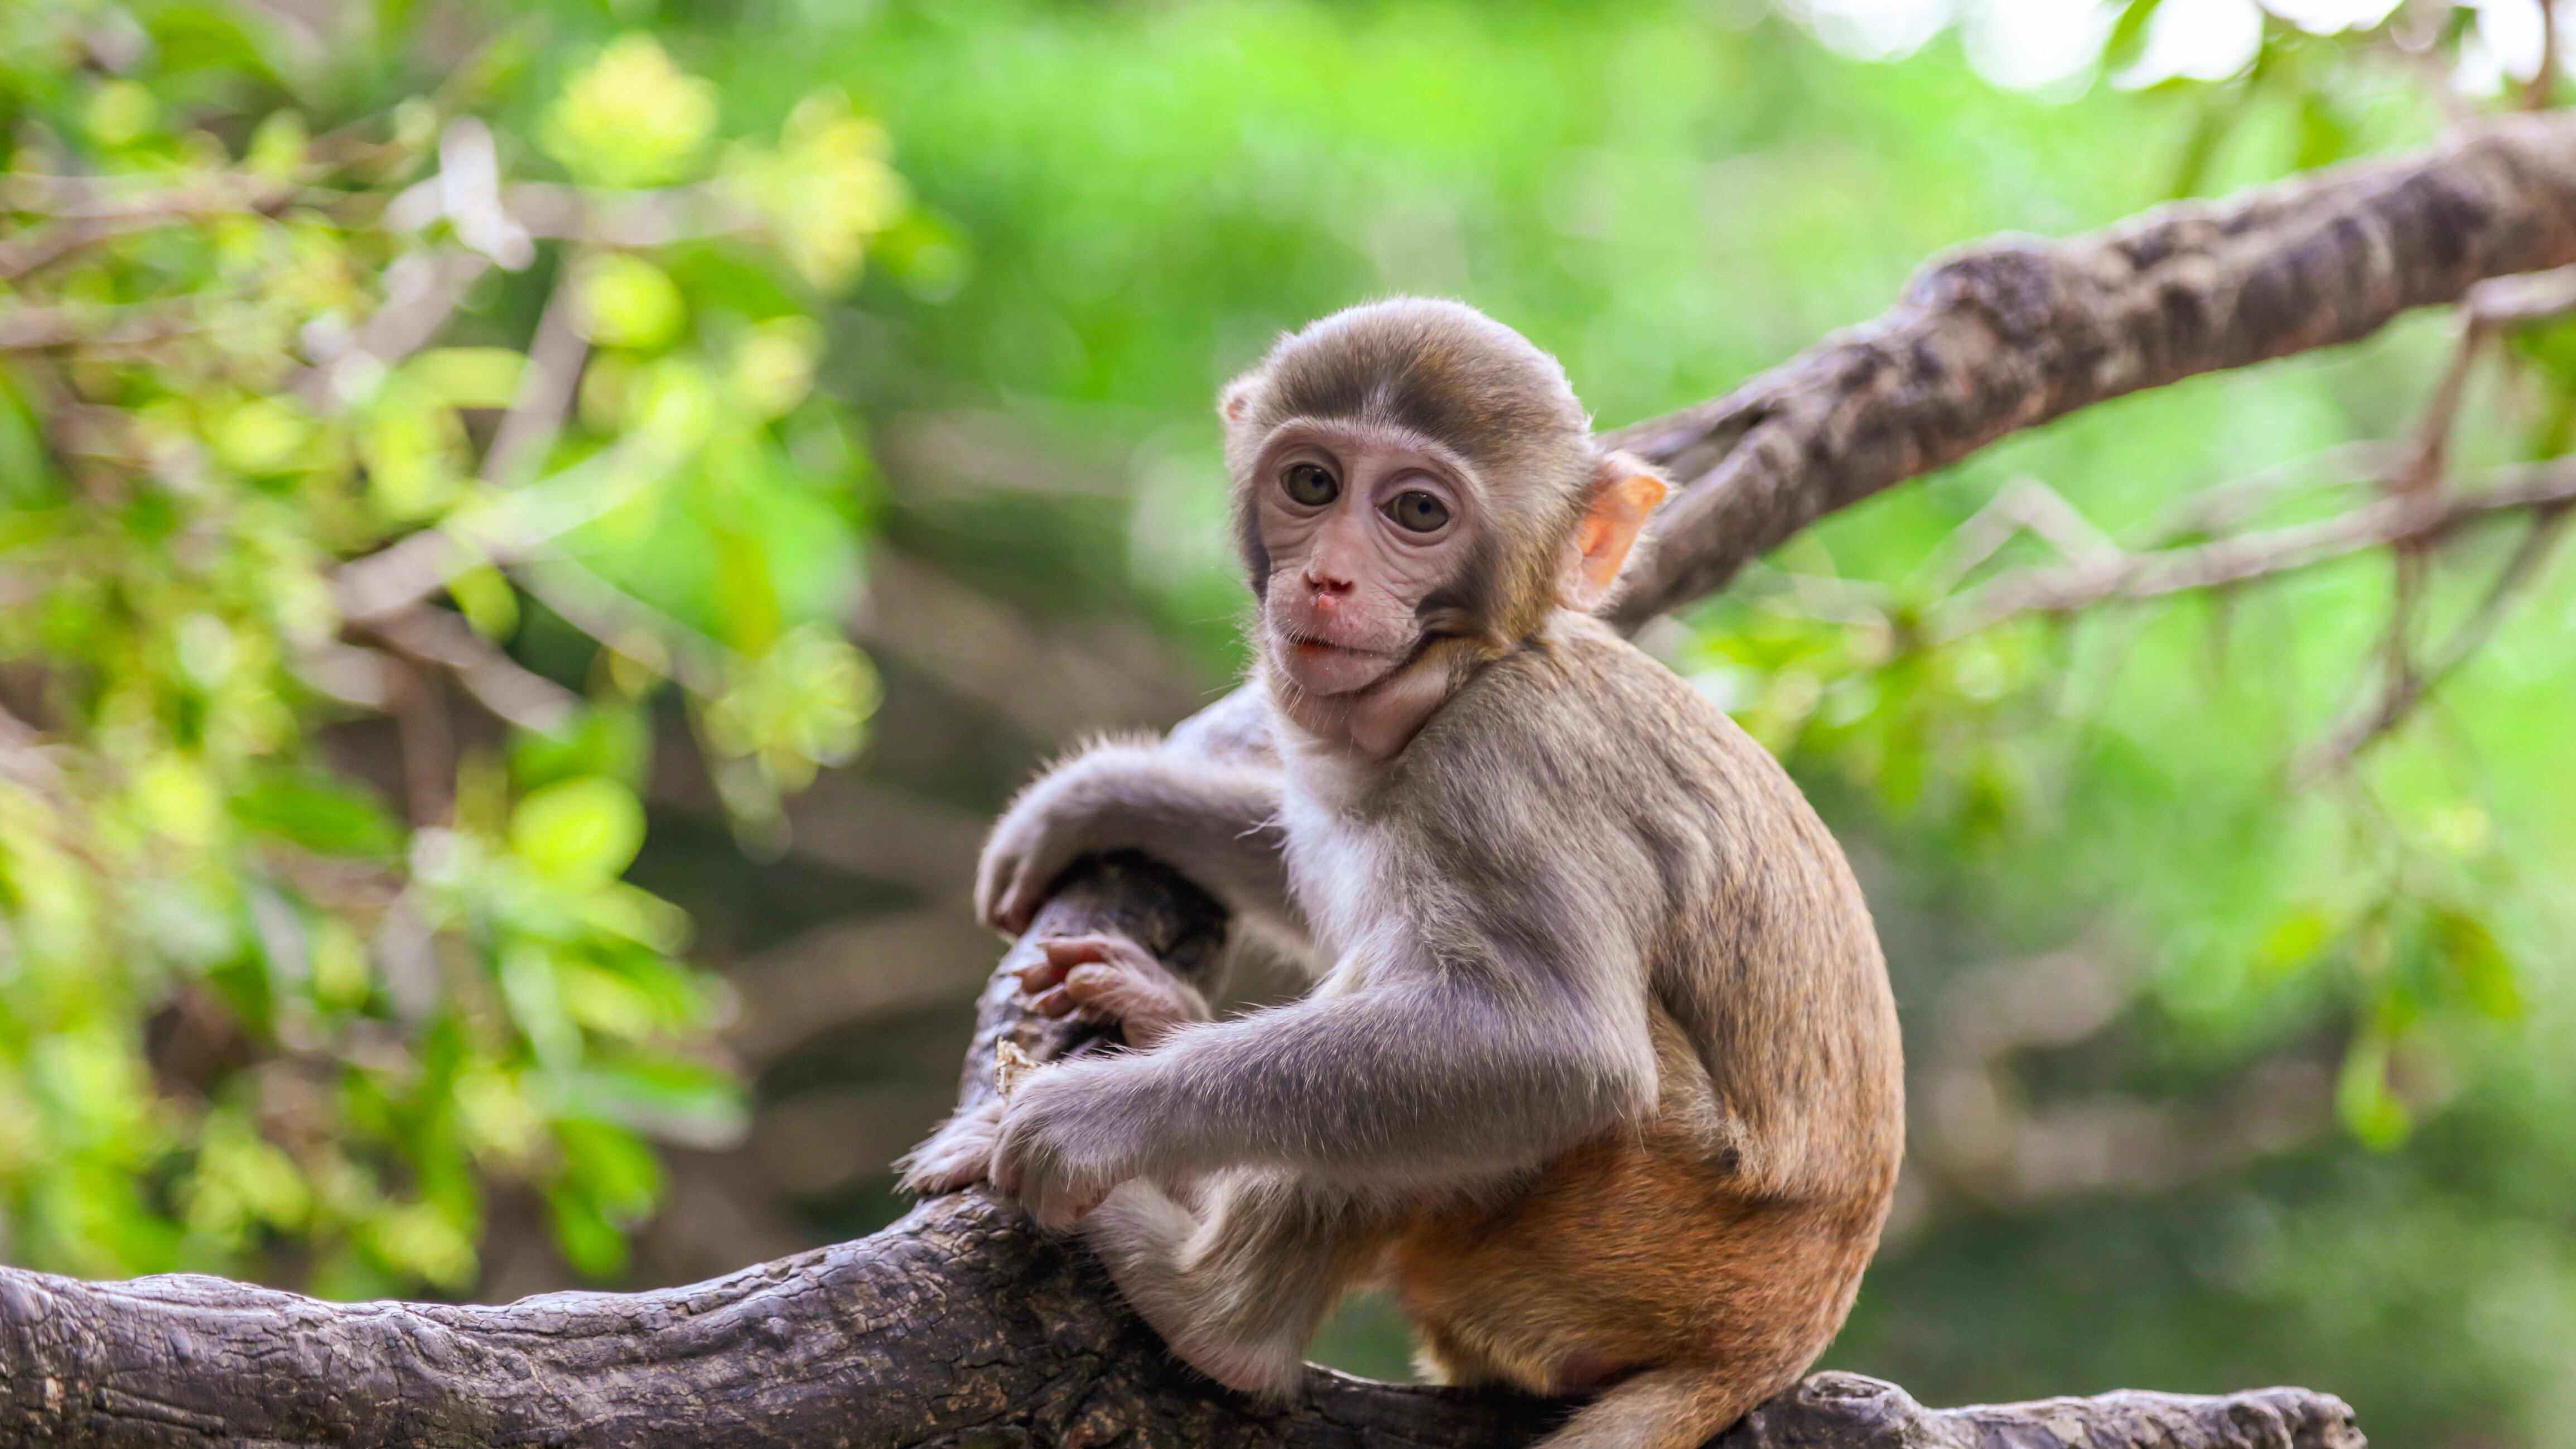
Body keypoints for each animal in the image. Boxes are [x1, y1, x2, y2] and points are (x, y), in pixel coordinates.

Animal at [900, 298, 1902, 1449]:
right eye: (1310, 483)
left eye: (1417, 510)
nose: (1328, 577)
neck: (1464, 672)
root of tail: (1774, 1339)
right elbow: (1316, 850)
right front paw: (1096, 795)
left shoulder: (1507, 765)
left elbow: (1560, 1049)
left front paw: (1078, 1123)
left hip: (1648, 1231)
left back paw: (1212, 1316)